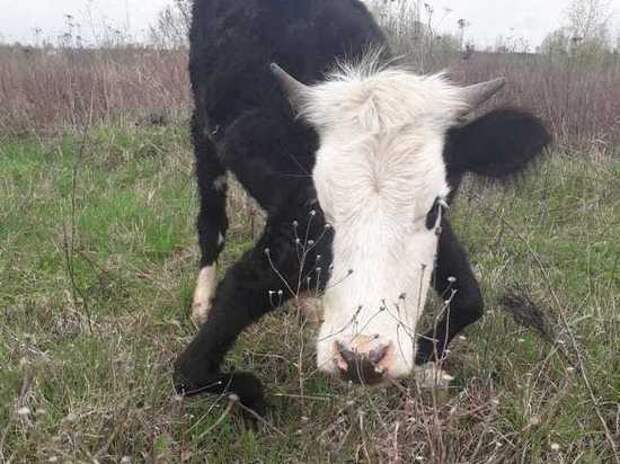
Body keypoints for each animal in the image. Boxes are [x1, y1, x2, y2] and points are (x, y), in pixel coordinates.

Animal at [174, 0, 550, 413]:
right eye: (320, 208)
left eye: (434, 210)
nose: (361, 358)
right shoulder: (282, 241)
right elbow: (190, 370)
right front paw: (256, 402)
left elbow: (470, 299)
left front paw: (423, 366)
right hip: (203, 135)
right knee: (212, 223)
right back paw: (202, 300)